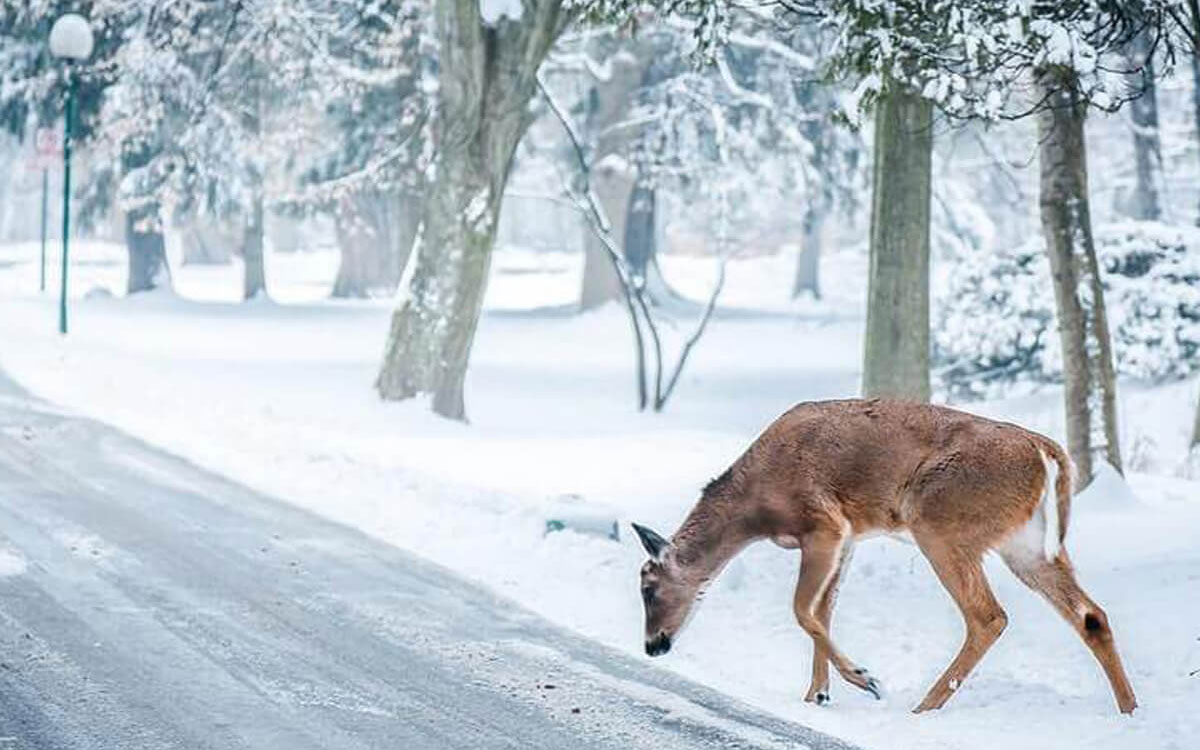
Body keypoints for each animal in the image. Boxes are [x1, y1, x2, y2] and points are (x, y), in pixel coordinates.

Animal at [632, 399, 1137, 714]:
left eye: (648, 587)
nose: (653, 646)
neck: (755, 507)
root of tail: (1046, 452)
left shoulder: (825, 523)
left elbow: (802, 610)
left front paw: (864, 679)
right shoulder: (850, 537)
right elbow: (823, 612)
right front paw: (817, 695)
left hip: (940, 522)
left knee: (988, 616)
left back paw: (923, 706)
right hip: (1026, 544)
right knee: (1091, 615)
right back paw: (1129, 709)